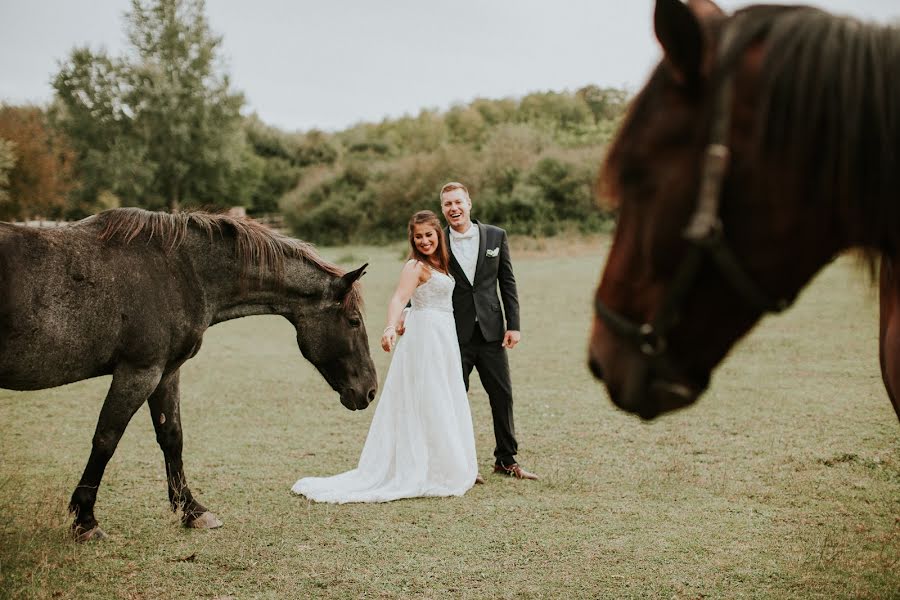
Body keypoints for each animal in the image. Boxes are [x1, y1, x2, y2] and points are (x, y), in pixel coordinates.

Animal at [0, 209, 376, 540]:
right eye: (354, 321)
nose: (370, 390)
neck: (180, 271)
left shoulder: (165, 373)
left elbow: (172, 437)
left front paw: (193, 510)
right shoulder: (139, 372)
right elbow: (106, 439)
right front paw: (86, 520)